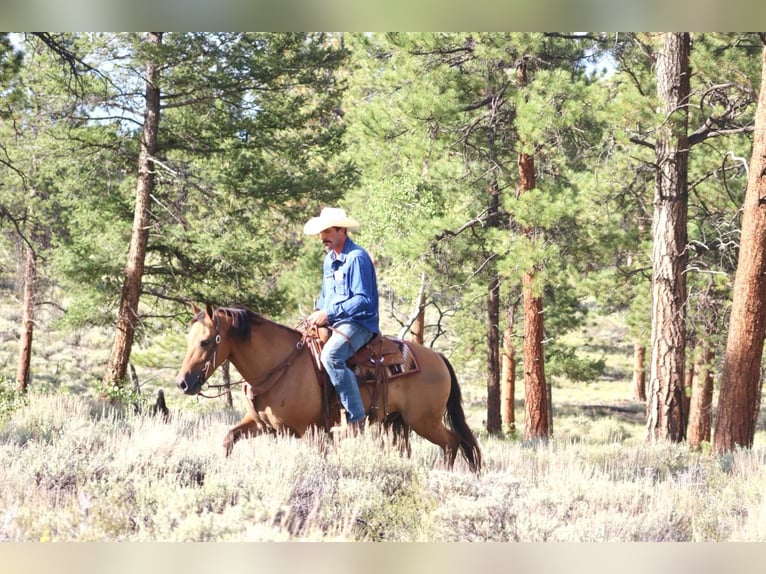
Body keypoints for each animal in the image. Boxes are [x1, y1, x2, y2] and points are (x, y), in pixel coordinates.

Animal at [175, 303, 481, 472]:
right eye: (188, 339)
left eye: (205, 341)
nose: (183, 382)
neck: (279, 365)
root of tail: (438, 357)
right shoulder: (262, 425)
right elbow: (228, 438)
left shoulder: (309, 432)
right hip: (399, 422)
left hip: (424, 421)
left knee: (452, 442)